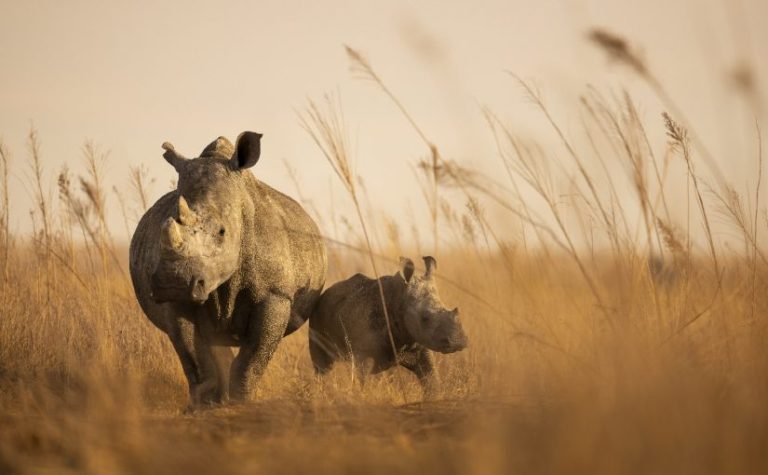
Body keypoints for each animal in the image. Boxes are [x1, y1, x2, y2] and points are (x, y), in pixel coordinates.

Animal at [129, 132, 327, 406]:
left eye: (222, 232)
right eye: (164, 226)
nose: (173, 283)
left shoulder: (276, 294)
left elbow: (253, 358)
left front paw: (240, 402)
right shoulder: (177, 301)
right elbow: (194, 356)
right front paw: (203, 406)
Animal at [308, 256, 468, 396]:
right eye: (425, 318)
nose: (459, 342)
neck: (399, 298)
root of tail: (323, 294)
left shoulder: (418, 345)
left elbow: (431, 379)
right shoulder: (364, 353)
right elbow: (362, 382)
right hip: (316, 315)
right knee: (323, 368)